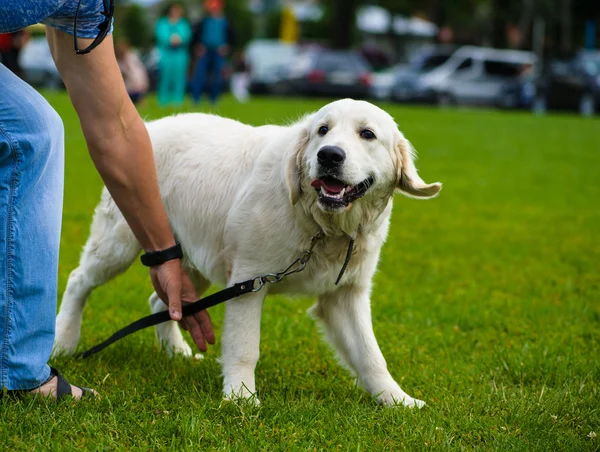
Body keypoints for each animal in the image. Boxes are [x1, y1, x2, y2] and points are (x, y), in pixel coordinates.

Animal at [54, 100, 440, 410]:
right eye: (322, 130)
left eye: (367, 134)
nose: (329, 155)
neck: (322, 227)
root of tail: (149, 126)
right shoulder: (249, 281)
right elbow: (244, 347)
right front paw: (240, 397)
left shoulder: (345, 294)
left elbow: (370, 355)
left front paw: (398, 400)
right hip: (117, 245)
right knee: (78, 280)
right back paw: (63, 341)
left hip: (190, 261)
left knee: (163, 299)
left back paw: (175, 351)